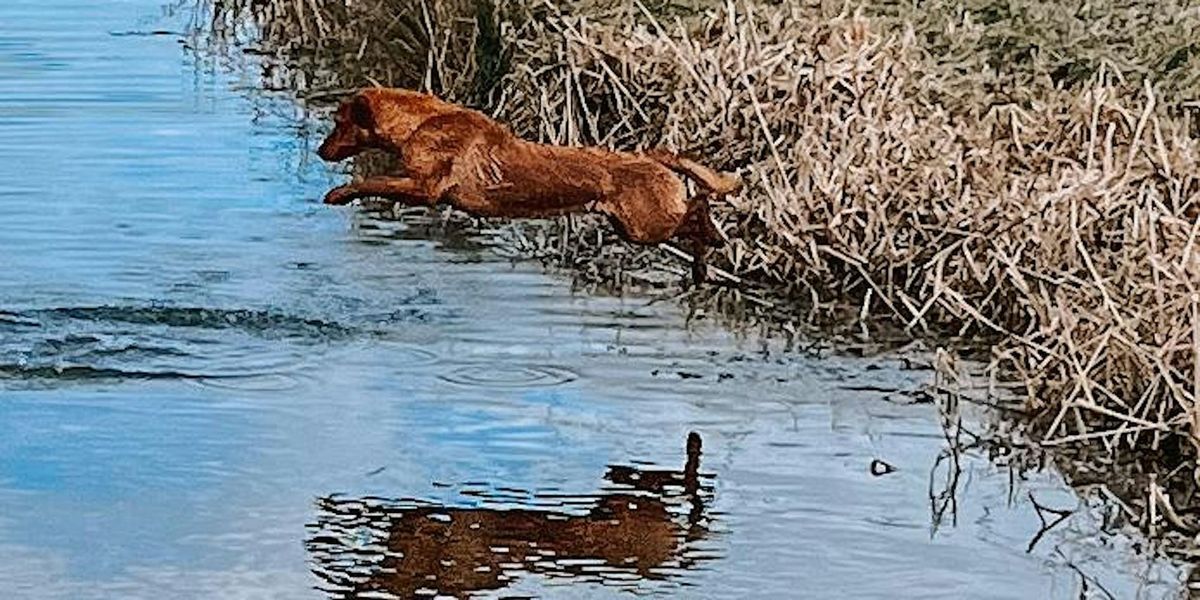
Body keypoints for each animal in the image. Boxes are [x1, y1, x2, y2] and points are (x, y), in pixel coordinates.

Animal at [316, 87, 739, 282]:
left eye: (338, 122)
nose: (320, 151)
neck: (420, 123)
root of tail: (652, 157)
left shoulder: (426, 188)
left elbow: (373, 181)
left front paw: (338, 194)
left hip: (646, 225)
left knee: (697, 208)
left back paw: (713, 241)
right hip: (632, 227)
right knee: (695, 213)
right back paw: (702, 265)